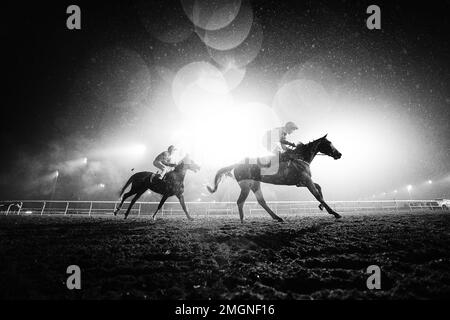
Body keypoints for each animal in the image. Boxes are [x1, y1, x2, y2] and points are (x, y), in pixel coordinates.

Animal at [209, 134, 342, 221]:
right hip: (246, 185)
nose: (339, 154)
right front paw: (334, 213)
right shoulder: (306, 180)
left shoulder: (301, 182)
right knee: (240, 201)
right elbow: (317, 195)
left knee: (261, 201)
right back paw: (243, 220)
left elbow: (319, 188)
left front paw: (322, 207)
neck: (300, 157)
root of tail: (237, 164)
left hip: (255, 184)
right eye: (329, 143)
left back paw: (277, 217)